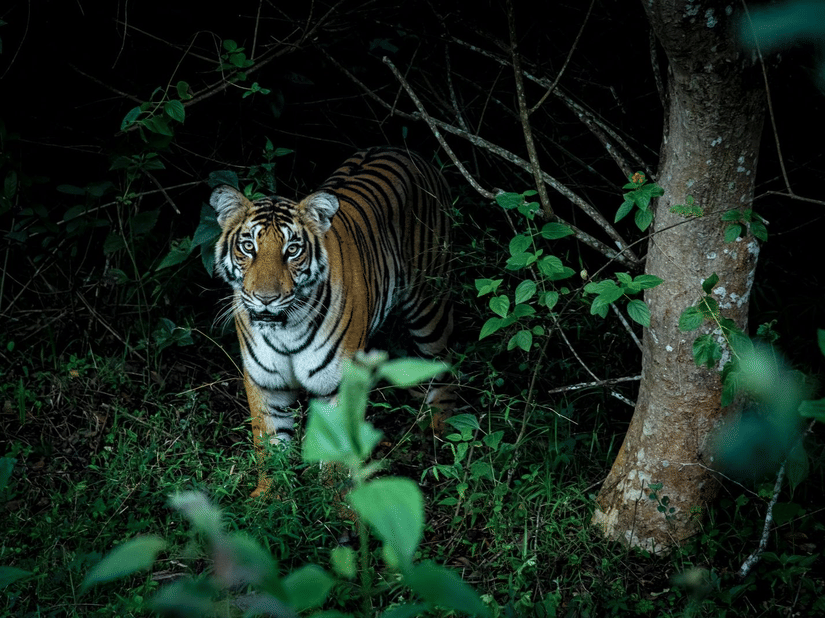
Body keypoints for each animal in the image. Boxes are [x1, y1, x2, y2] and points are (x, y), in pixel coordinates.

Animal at [210, 147, 454, 497]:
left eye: (292, 250)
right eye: (248, 246)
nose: (266, 298)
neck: (286, 328)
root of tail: (404, 151)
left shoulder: (339, 384)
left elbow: (337, 457)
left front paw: (335, 503)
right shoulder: (266, 382)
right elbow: (269, 444)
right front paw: (269, 497)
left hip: (430, 303)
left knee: (442, 366)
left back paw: (441, 434)